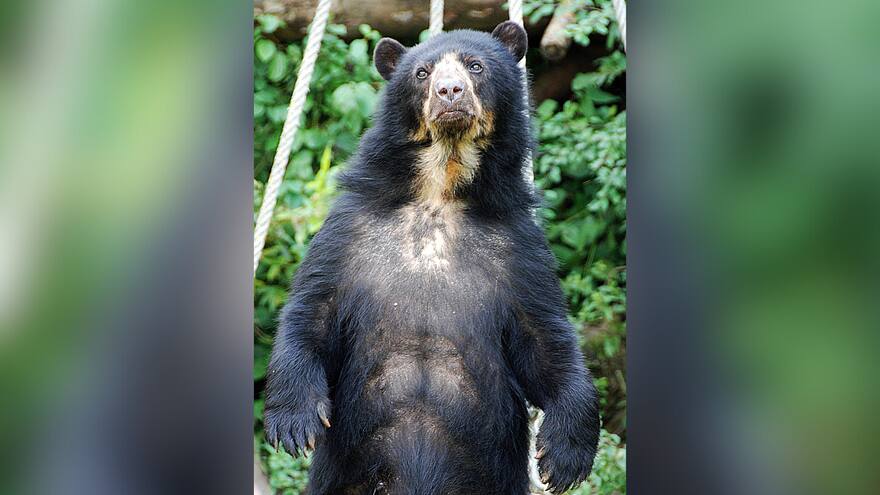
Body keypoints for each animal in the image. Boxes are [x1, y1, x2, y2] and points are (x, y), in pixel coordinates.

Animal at [264, 21, 600, 495]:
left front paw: (565, 457)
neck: (440, 185)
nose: (449, 92)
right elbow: (313, 311)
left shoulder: (519, 245)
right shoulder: (349, 228)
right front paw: (294, 424)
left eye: (475, 66)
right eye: (422, 73)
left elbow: (545, 339)